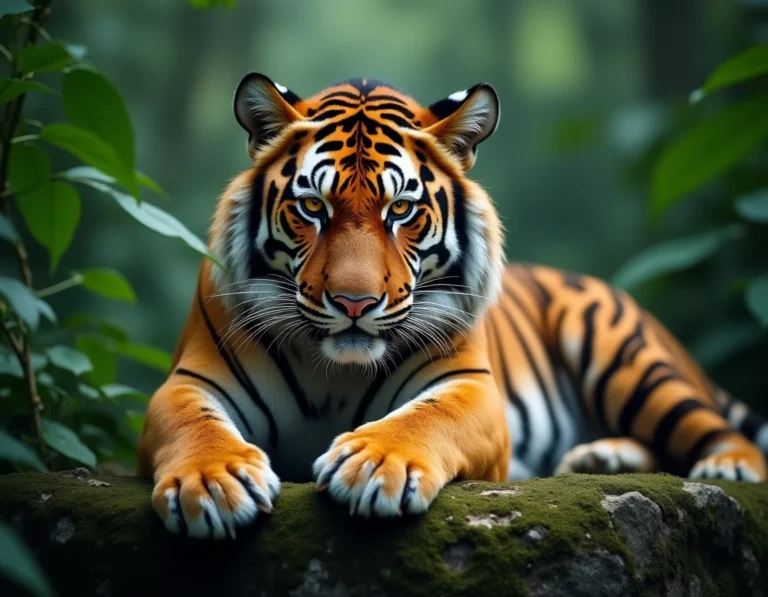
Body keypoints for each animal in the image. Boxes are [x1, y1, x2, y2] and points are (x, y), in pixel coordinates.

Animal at [137, 73, 768, 539]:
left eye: (401, 210)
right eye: (313, 206)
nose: (354, 302)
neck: (334, 373)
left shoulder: (473, 387)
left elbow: (424, 416)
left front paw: (375, 465)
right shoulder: (190, 380)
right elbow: (194, 424)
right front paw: (213, 482)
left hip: (624, 357)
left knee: (711, 428)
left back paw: (725, 465)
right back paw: (599, 460)